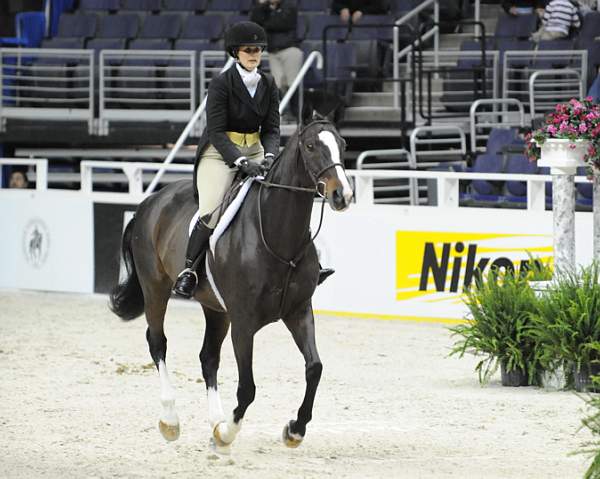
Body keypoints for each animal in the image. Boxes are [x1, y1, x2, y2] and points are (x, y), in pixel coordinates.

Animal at [109, 119, 352, 454]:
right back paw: (171, 421)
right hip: (155, 288)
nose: (343, 195)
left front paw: (294, 430)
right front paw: (227, 435)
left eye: (342, 144)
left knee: (208, 357)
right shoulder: (243, 323)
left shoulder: (299, 312)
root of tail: (150, 201)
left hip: (215, 308)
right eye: (311, 146)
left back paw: (215, 421)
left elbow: (314, 368)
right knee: (158, 342)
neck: (279, 237)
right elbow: (247, 388)